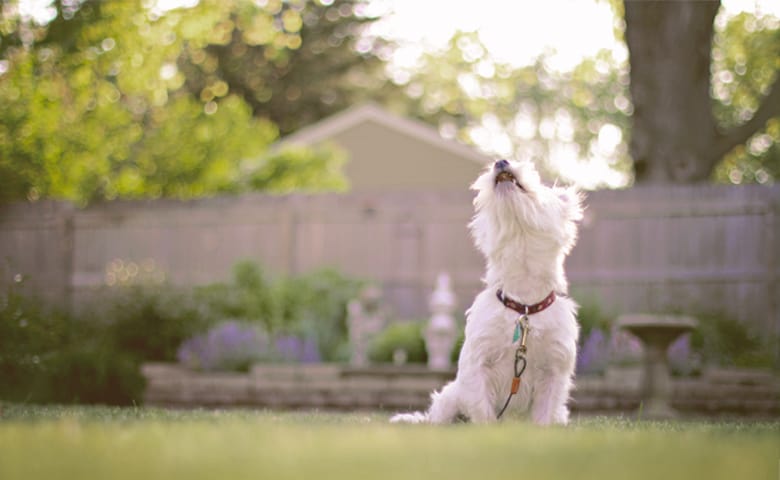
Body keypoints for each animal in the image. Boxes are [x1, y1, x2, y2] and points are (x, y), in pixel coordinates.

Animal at [394, 159, 580, 426]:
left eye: (535, 175)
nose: (501, 161)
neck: (523, 305)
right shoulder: (477, 364)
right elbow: (482, 409)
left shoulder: (554, 370)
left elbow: (544, 415)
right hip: (450, 397)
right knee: (436, 419)